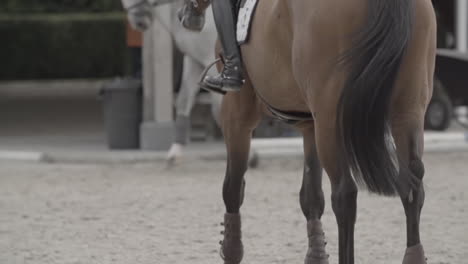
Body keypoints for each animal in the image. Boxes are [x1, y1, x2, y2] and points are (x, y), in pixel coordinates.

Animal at [181, 0, 436, 264]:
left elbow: (232, 189)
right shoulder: (310, 127)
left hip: (330, 120)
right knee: (412, 188)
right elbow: (311, 197)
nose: (186, 16)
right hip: (407, 112)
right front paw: (316, 255)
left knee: (345, 194)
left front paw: (231, 251)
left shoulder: (236, 116)